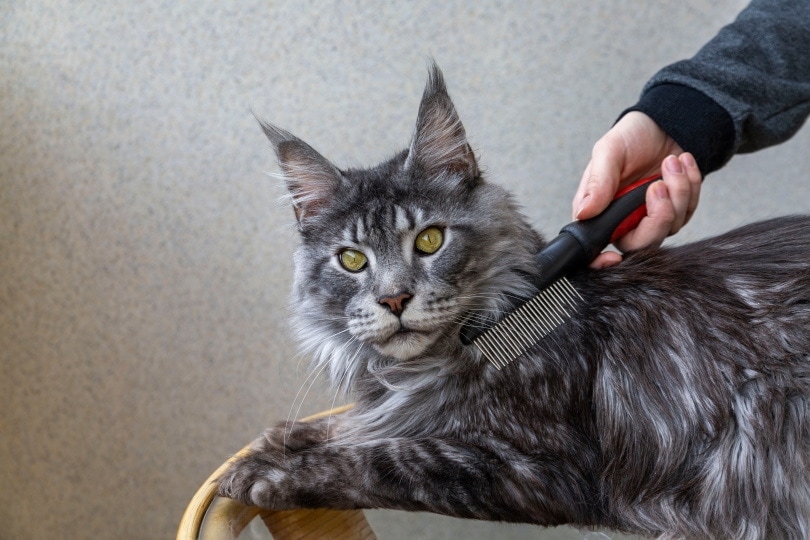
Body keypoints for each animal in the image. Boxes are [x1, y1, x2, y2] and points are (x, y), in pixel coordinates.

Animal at [216, 64, 808, 540]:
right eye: (352, 260)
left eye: (429, 241)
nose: (394, 298)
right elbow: (353, 425)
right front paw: (276, 441)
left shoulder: (539, 468)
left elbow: (386, 456)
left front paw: (269, 473)